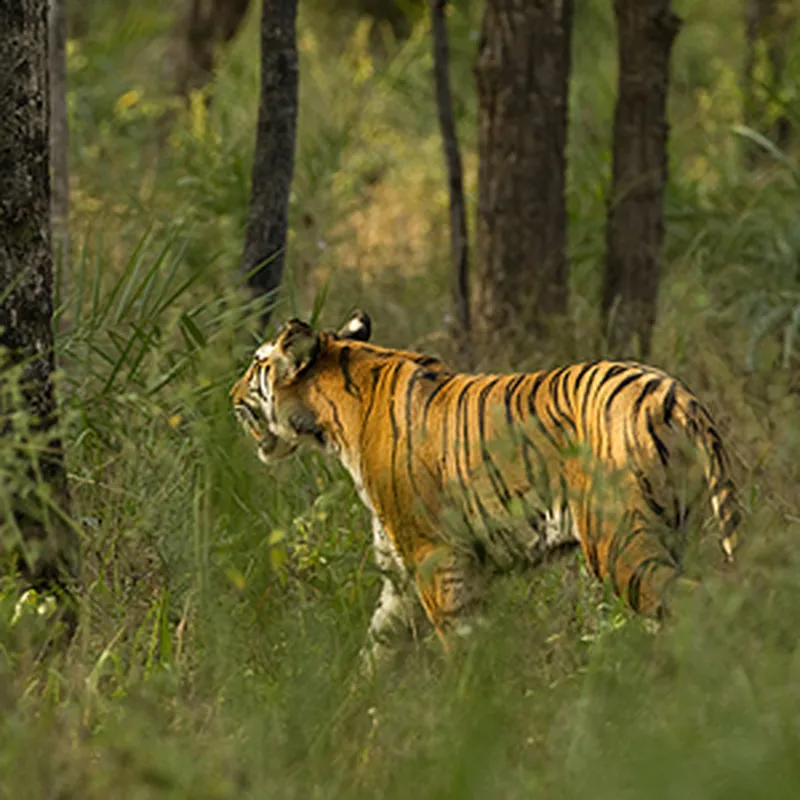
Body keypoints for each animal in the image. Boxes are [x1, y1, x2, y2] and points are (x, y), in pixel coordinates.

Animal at [233, 310, 744, 672]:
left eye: (257, 364)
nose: (231, 394)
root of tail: (677, 394)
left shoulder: (435, 558)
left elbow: (459, 642)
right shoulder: (402, 577)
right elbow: (377, 649)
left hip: (618, 543)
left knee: (700, 600)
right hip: (672, 533)